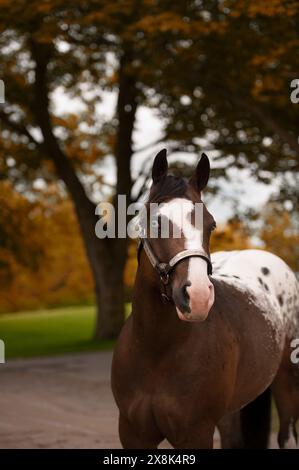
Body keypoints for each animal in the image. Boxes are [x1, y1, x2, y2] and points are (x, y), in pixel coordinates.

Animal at [110, 150, 299, 448]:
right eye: (154, 223)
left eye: (210, 224)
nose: (197, 296)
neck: (156, 351)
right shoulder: (132, 433)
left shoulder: (196, 433)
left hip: (287, 382)